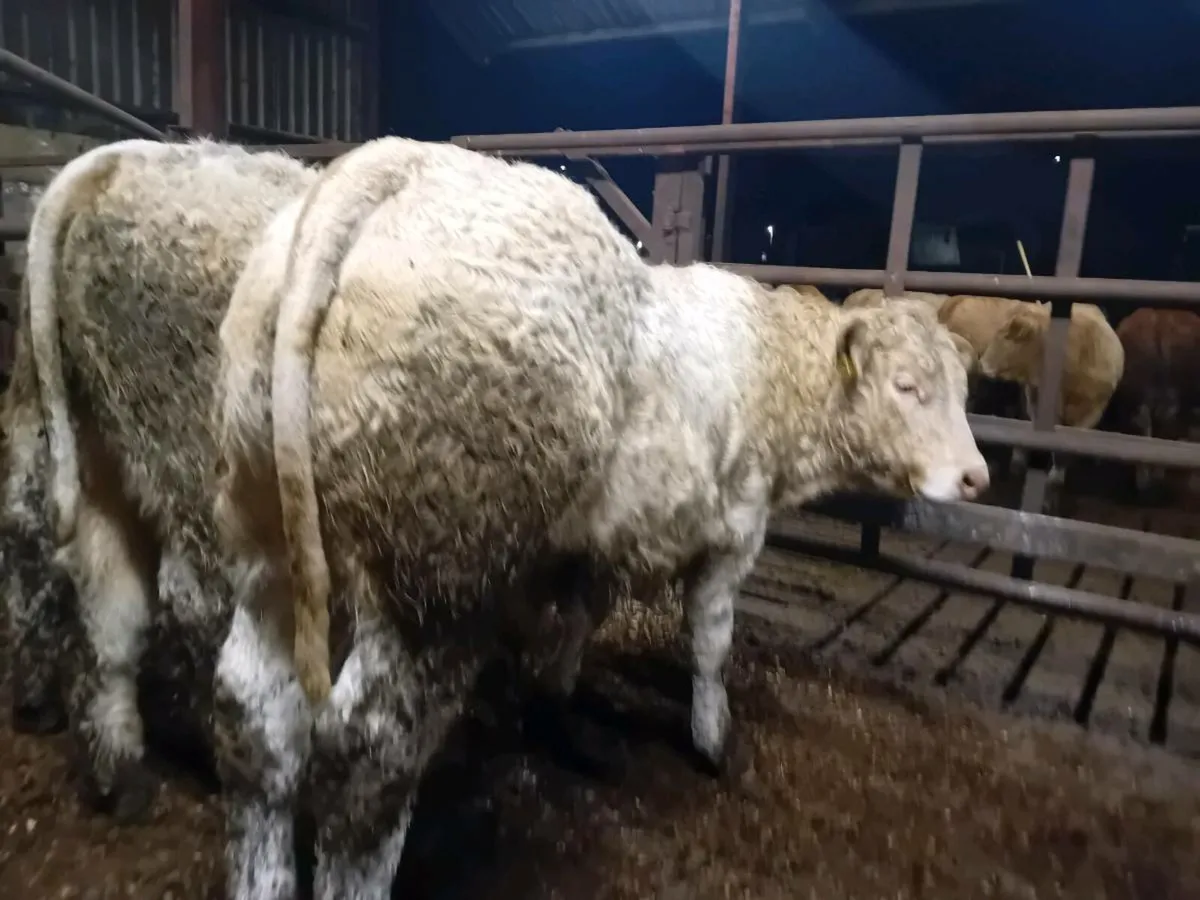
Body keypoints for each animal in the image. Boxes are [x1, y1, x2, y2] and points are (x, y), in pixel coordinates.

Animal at [7, 137, 317, 822]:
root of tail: (117, 162)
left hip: (92, 445)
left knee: (102, 596)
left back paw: (115, 773)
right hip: (206, 468)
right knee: (206, 608)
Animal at [210, 136, 990, 900]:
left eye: (961, 388)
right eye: (907, 386)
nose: (976, 476)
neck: (766, 366)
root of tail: (394, 163)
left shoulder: (601, 540)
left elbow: (582, 619)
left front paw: (554, 705)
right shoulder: (731, 536)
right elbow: (711, 645)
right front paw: (712, 741)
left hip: (265, 535)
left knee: (259, 719)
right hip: (437, 581)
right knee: (371, 755)